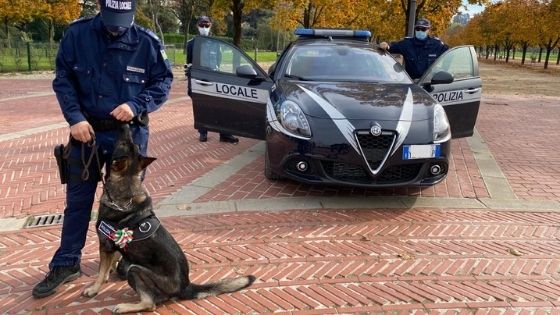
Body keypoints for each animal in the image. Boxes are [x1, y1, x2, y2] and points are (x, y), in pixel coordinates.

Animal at [83, 125, 256, 314]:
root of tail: (186, 286)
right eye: (130, 144)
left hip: (135, 269)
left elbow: (100, 273)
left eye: (124, 143)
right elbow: (109, 264)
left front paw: (94, 289)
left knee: (149, 304)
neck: (125, 189)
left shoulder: (105, 245)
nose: (126, 125)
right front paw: (108, 274)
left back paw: (125, 306)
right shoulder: (113, 246)